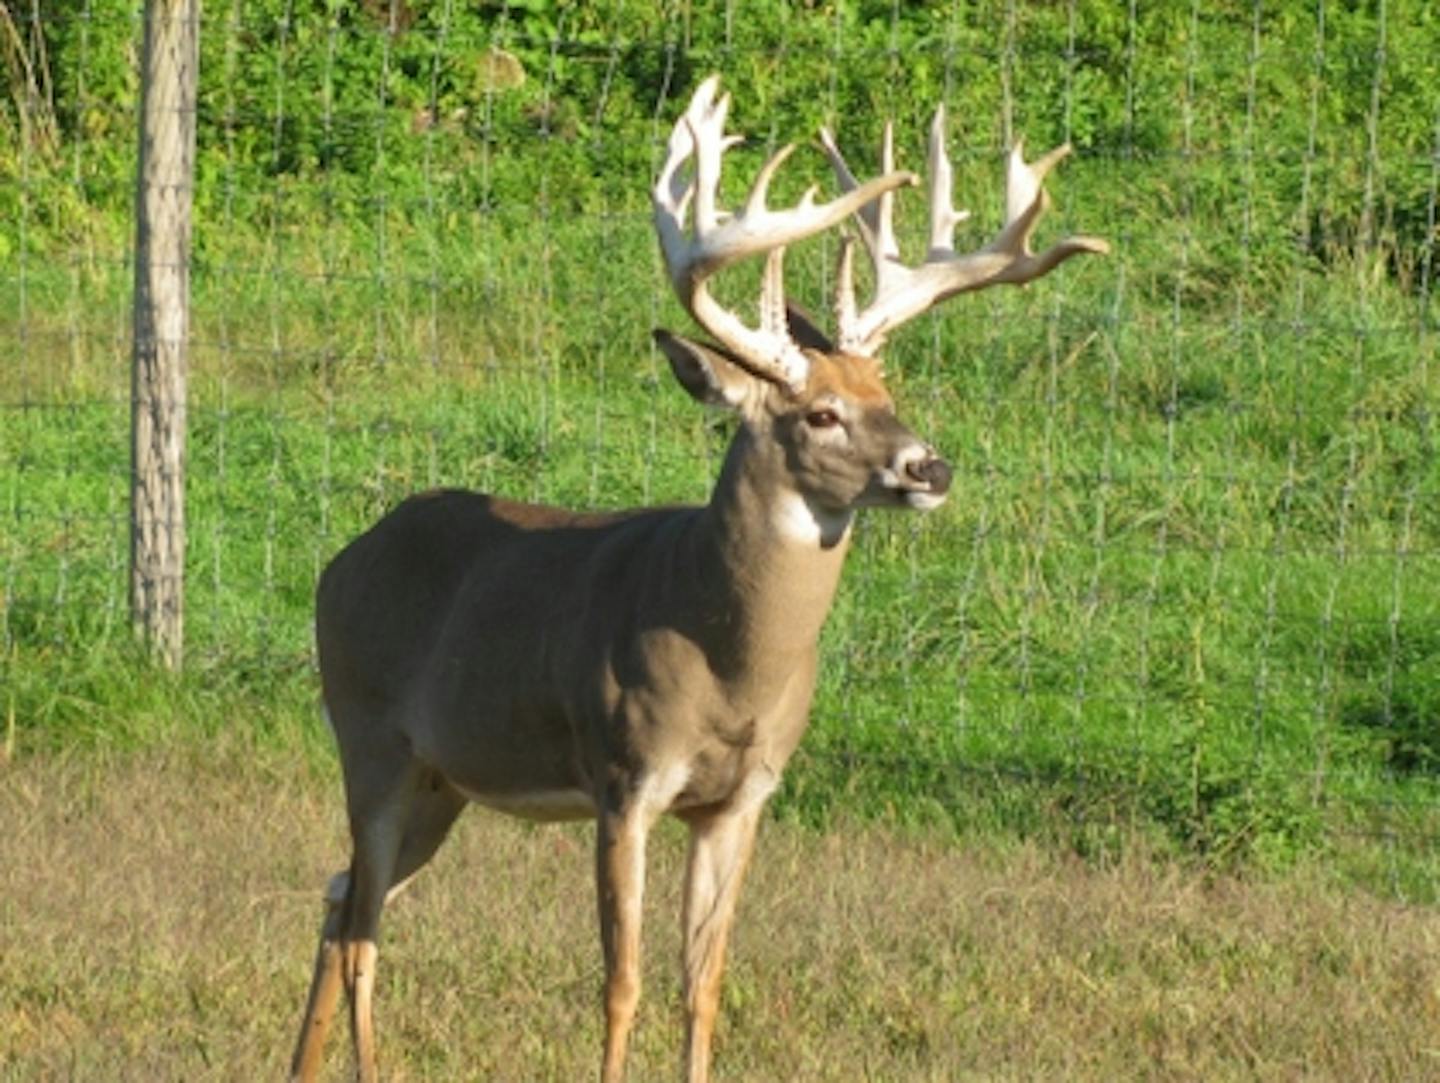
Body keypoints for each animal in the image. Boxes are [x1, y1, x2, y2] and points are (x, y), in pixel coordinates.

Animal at [286, 76, 1105, 1083]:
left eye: (888, 393)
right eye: (820, 412)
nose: (931, 468)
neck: (728, 659)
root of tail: (344, 558)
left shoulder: (743, 795)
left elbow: (703, 981)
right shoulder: (625, 778)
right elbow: (622, 983)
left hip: (445, 777)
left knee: (342, 900)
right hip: (368, 735)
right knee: (362, 926)